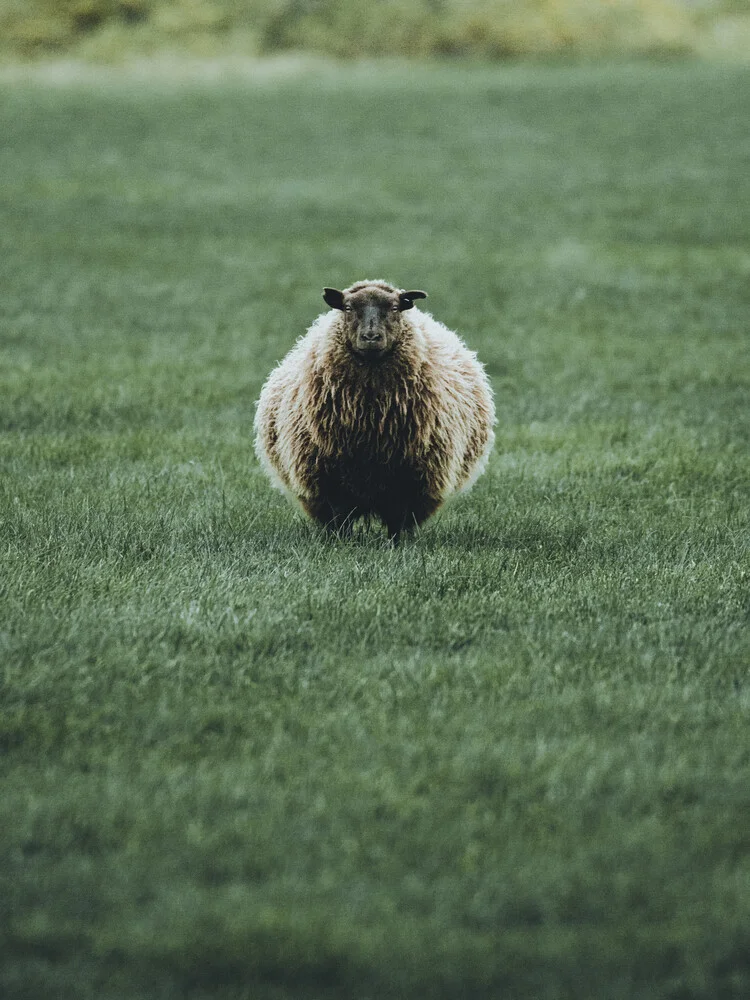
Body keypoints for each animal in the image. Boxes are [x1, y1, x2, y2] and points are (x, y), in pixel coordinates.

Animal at [256, 278, 496, 544]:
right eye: (348, 307)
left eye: (395, 307)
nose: (371, 336)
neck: (371, 418)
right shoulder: (329, 478)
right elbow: (340, 517)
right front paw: (341, 543)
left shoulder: (408, 479)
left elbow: (398, 518)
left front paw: (396, 545)